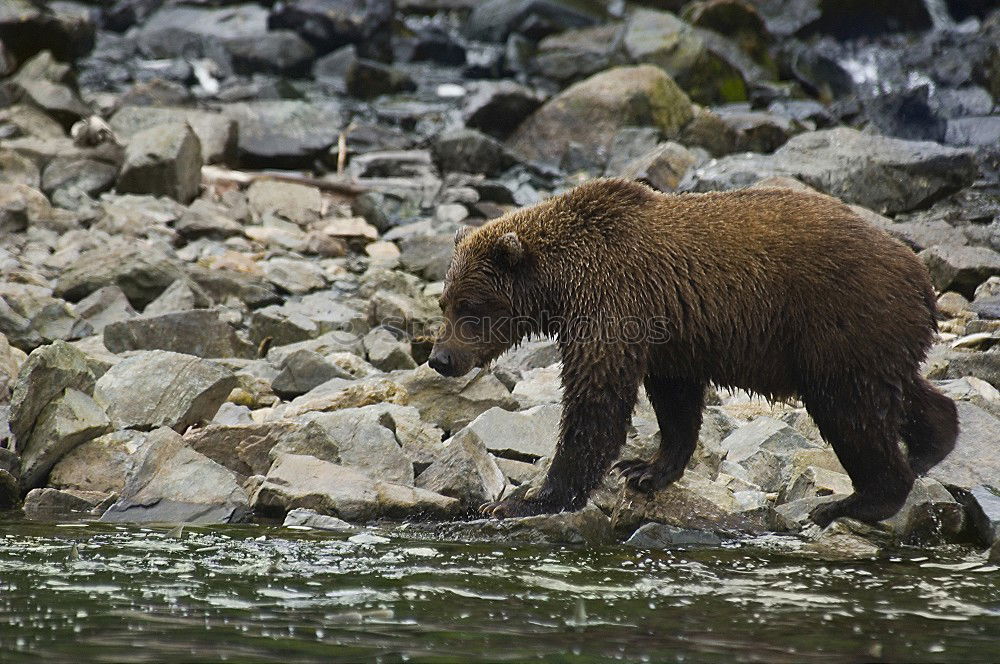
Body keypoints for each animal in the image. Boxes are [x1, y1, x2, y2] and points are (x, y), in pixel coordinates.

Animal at [426, 179, 956, 528]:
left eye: (471, 307)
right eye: (445, 302)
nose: (439, 359)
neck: (562, 284)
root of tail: (920, 276)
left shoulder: (613, 302)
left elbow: (595, 402)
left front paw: (526, 499)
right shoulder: (668, 329)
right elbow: (675, 400)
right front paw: (646, 469)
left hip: (839, 321)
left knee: (850, 408)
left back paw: (855, 501)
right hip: (873, 336)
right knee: (898, 391)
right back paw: (932, 443)